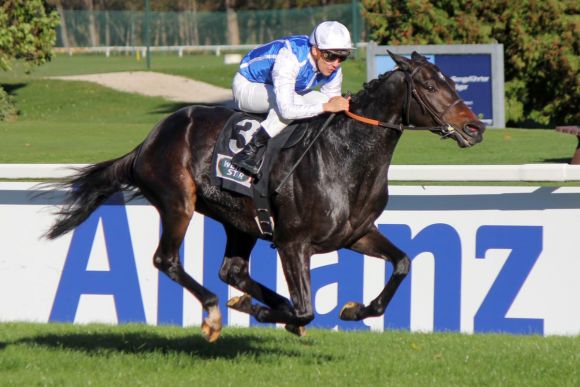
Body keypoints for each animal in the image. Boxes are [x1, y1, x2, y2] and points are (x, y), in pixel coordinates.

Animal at [47, 50, 484, 342]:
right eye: (430, 86)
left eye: (451, 81)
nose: (475, 128)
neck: (345, 155)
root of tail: (148, 141)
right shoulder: (293, 243)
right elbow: (307, 310)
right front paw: (269, 312)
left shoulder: (356, 233)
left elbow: (403, 264)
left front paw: (355, 309)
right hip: (177, 202)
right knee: (166, 259)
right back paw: (215, 311)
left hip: (239, 221)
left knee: (233, 271)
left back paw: (253, 302)